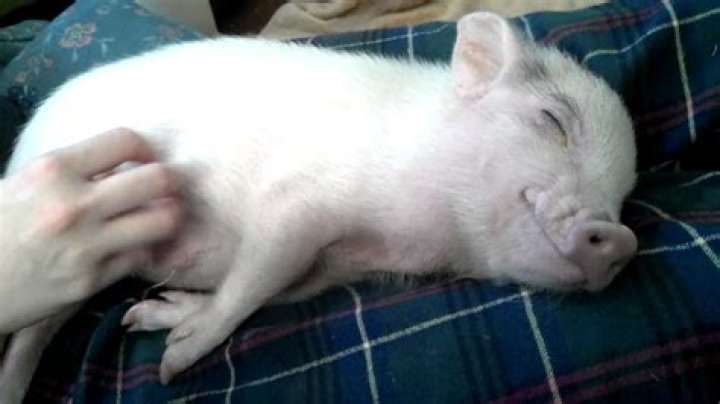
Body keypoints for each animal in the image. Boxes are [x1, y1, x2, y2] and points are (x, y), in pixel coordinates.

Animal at [0, 11, 637, 402]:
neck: (417, 232)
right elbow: (252, 282)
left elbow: (268, 289)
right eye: (552, 120)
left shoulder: (326, 268)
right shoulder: (300, 199)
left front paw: (153, 319)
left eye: (625, 193)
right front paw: (172, 364)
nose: (620, 238)